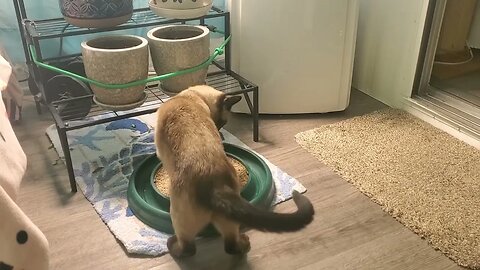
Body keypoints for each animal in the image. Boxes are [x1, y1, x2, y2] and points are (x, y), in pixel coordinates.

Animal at [156, 85, 316, 258]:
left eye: (222, 123)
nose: (220, 132)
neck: (191, 96)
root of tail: (216, 186)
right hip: (228, 221)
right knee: (231, 246)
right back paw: (245, 243)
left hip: (179, 219)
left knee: (189, 248)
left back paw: (172, 245)